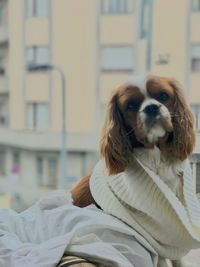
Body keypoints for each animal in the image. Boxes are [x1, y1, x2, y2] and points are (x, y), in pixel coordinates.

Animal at [70, 74, 197, 267]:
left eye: (164, 96)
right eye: (130, 105)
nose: (151, 108)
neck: (156, 158)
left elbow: (178, 259)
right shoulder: (153, 239)